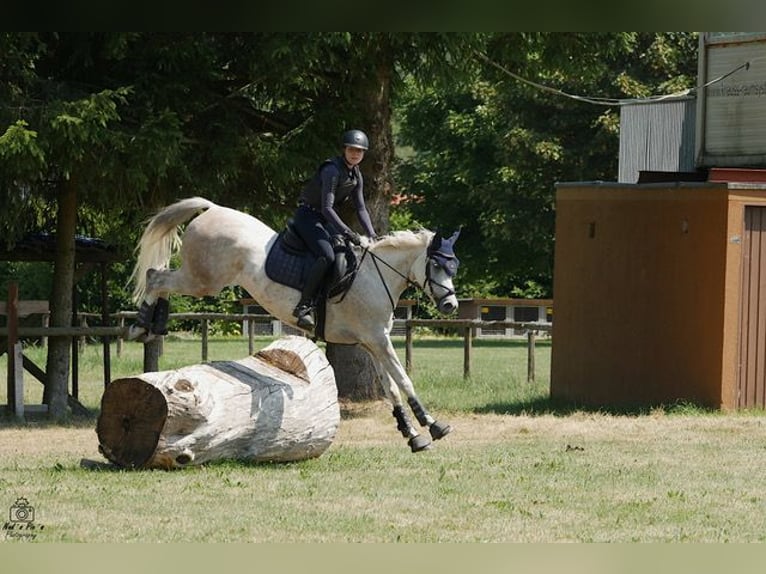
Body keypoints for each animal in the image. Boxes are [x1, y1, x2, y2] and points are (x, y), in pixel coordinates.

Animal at [128, 198, 462, 454]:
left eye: (453, 266)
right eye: (436, 265)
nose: (450, 306)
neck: (376, 274)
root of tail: (213, 208)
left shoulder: (371, 342)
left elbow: (391, 387)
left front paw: (412, 435)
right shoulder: (377, 339)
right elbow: (404, 380)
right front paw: (433, 425)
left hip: (200, 278)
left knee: (160, 278)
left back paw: (153, 325)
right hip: (203, 280)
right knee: (156, 277)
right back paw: (142, 325)